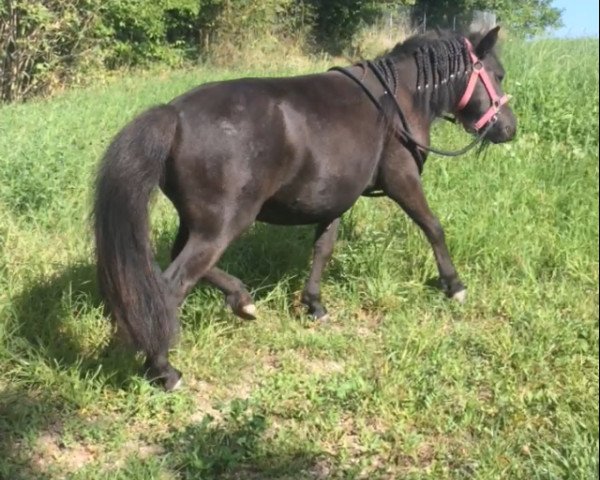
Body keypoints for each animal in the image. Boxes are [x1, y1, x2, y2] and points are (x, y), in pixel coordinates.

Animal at [94, 26, 516, 390]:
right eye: (498, 74)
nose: (508, 129)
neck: (396, 102)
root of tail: (175, 116)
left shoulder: (334, 198)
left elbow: (323, 249)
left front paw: (313, 304)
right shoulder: (402, 180)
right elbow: (433, 227)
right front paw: (454, 284)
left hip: (201, 223)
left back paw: (242, 301)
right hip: (222, 225)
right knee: (171, 286)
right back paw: (163, 369)